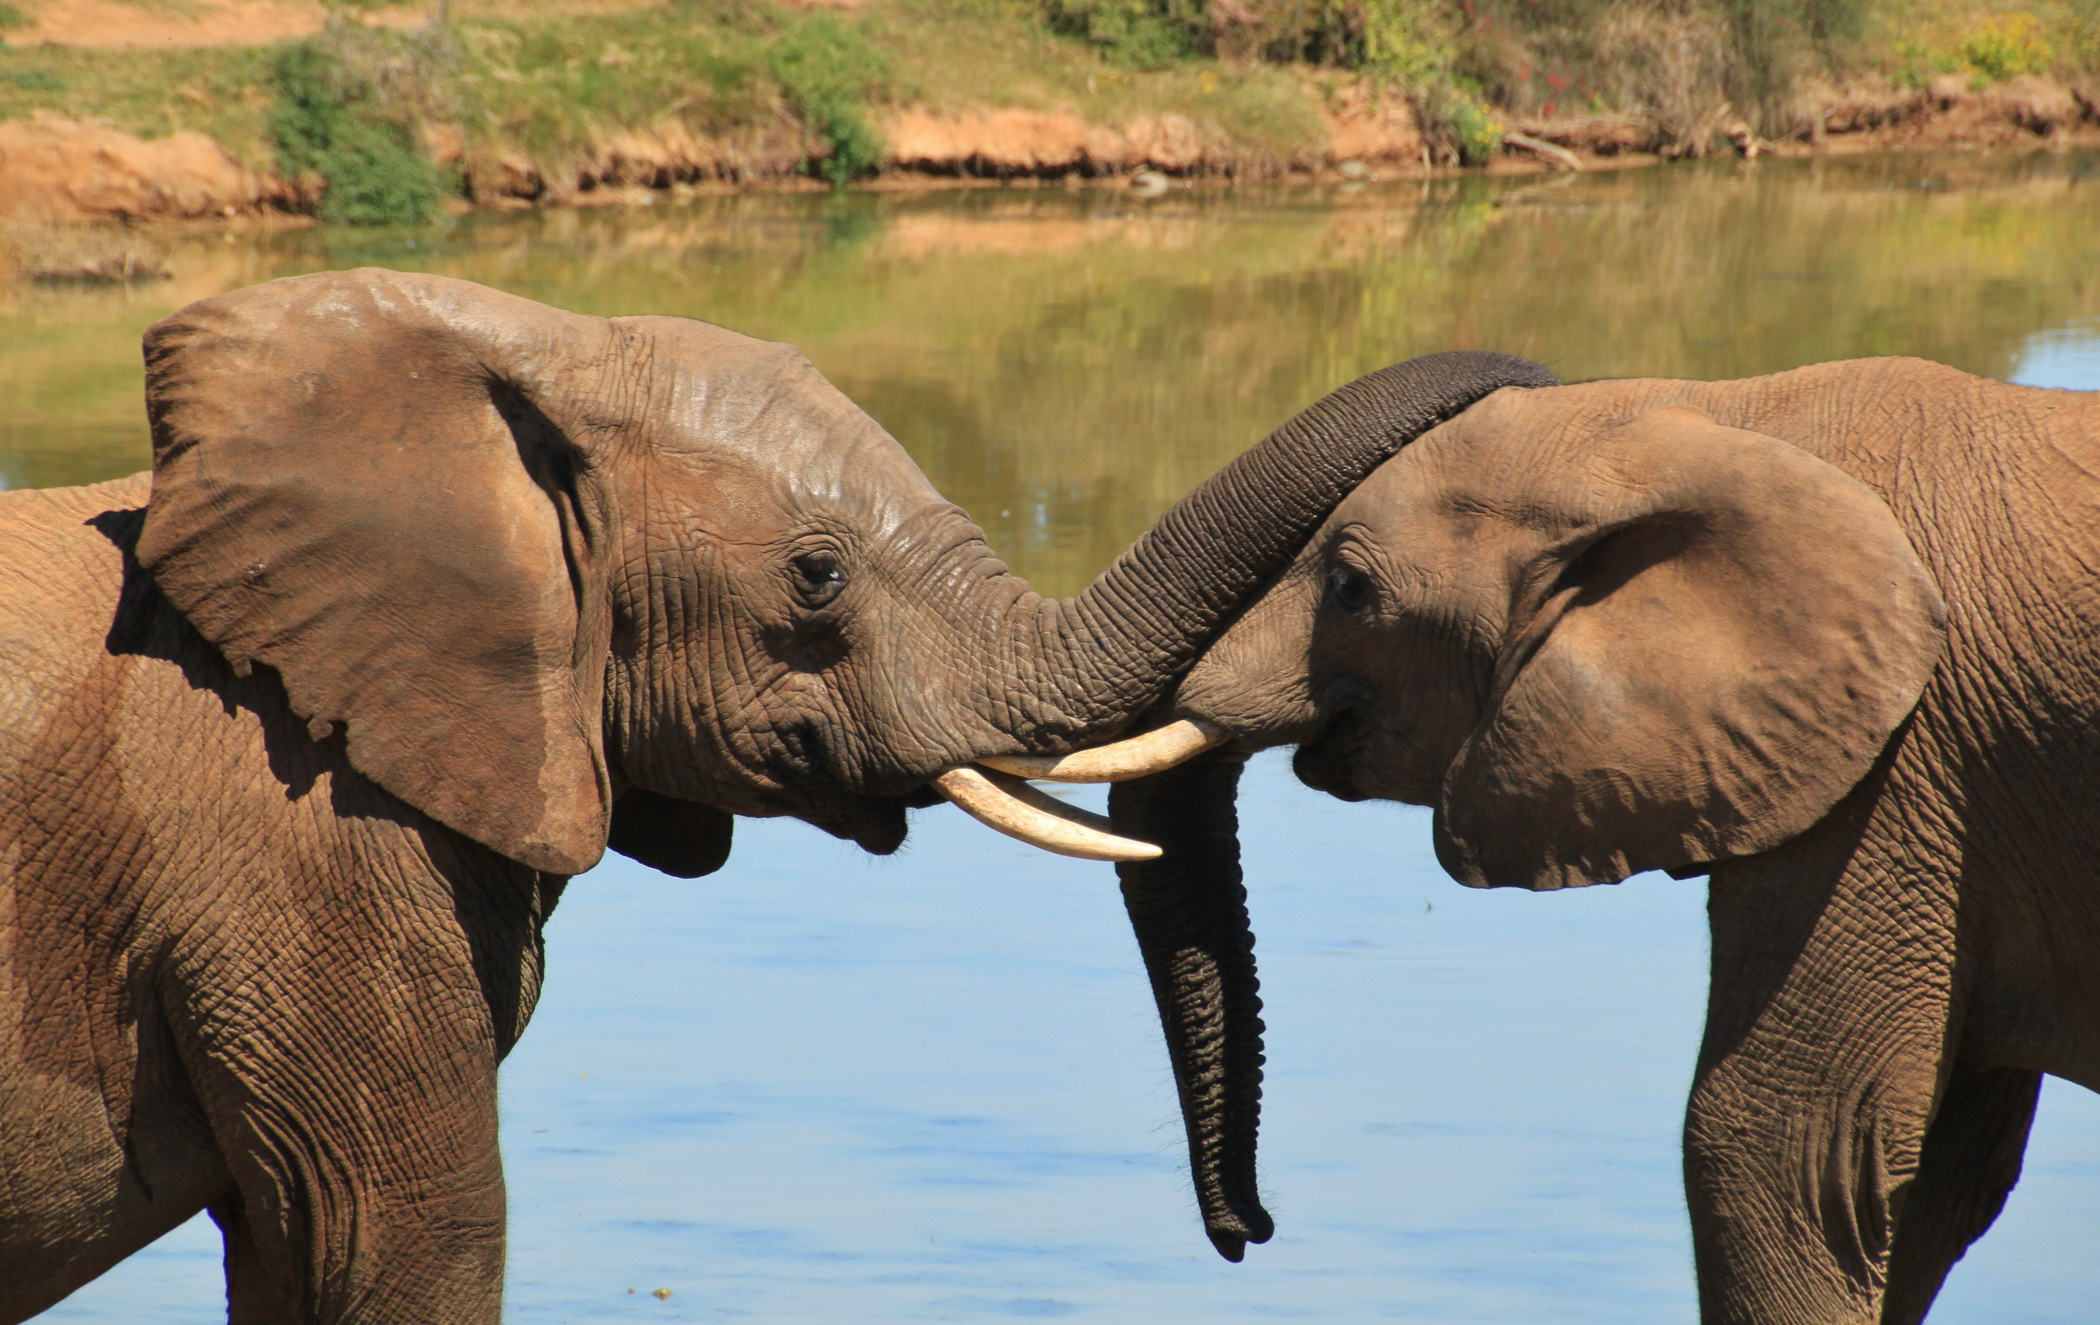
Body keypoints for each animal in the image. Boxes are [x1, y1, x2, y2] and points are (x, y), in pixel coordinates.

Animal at [1100, 356, 2100, 1318]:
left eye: (1349, 589)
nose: (1252, 1229)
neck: (1718, 421)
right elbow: (1939, 1176)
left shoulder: (1896, 775)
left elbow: (1778, 1147)